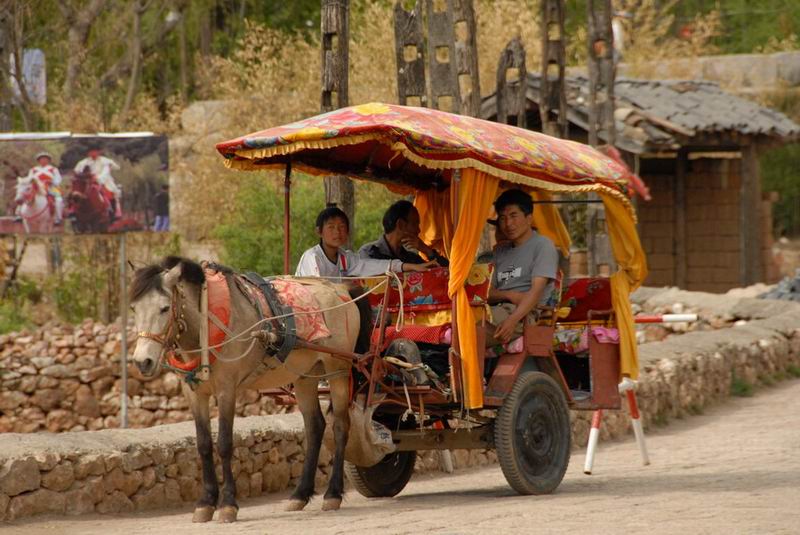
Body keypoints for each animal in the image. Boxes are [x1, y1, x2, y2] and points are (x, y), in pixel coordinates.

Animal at [130, 258, 362, 520]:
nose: (142, 362)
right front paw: (206, 502)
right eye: (134, 309)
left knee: (340, 427)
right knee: (315, 427)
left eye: (164, 308)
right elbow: (203, 444)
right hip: (305, 375)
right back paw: (299, 495)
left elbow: (224, 444)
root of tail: (342, 290)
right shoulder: (194, 393)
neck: (207, 322)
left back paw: (332, 494)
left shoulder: (227, 389)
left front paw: (228, 504)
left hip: (338, 371)